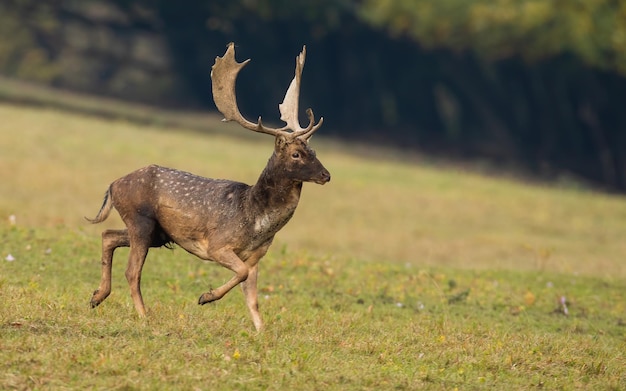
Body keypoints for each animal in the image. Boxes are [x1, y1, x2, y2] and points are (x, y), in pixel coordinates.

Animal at [89, 42, 332, 330]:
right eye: (296, 154)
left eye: (314, 150)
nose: (326, 175)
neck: (255, 221)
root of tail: (113, 185)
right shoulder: (218, 245)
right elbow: (240, 273)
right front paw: (205, 297)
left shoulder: (256, 256)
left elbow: (252, 298)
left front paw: (262, 331)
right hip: (140, 219)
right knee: (132, 270)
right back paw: (143, 315)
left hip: (158, 233)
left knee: (108, 235)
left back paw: (96, 297)